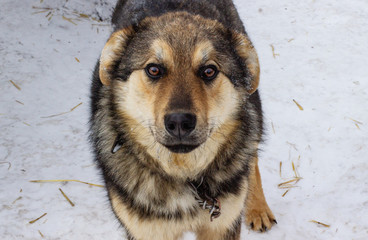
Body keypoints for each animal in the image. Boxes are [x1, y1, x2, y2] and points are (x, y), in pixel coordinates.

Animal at [90, 0, 276, 239]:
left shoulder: (223, 224)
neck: (186, 177)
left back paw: (258, 208)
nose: (179, 122)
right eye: (153, 69)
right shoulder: (147, 231)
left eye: (209, 71)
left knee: (251, 157)